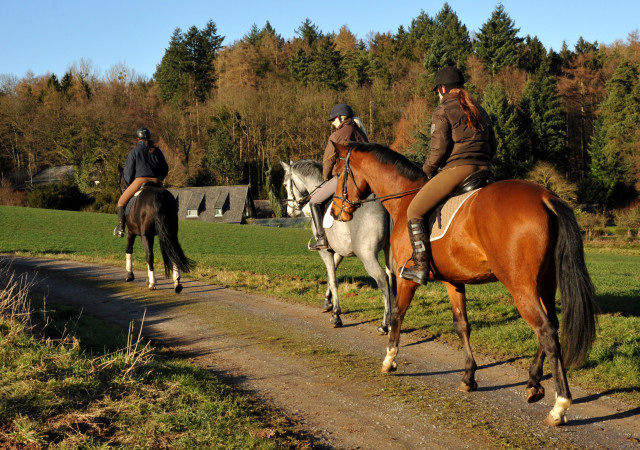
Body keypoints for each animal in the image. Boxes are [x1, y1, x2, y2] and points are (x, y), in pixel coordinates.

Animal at [282, 160, 396, 332]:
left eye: (286, 185)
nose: (290, 212)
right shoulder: (339, 251)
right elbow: (331, 276)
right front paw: (327, 302)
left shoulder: (324, 251)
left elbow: (333, 278)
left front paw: (336, 315)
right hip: (389, 251)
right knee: (391, 278)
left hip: (367, 255)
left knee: (382, 279)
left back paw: (385, 325)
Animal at [332, 143, 596, 426]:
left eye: (337, 174)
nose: (336, 211)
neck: (405, 200)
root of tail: (545, 196)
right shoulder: (454, 282)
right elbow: (462, 326)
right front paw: (469, 377)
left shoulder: (405, 280)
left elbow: (397, 315)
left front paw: (389, 359)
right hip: (545, 282)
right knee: (550, 327)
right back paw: (533, 383)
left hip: (521, 287)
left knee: (545, 330)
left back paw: (560, 406)